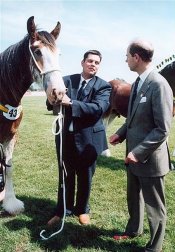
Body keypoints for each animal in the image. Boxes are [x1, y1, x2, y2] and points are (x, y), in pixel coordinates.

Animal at [0, 16, 66, 215]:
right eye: (37, 51)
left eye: (58, 54)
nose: (59, 92)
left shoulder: (10, 136)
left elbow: (8, 167)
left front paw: (10, 202)